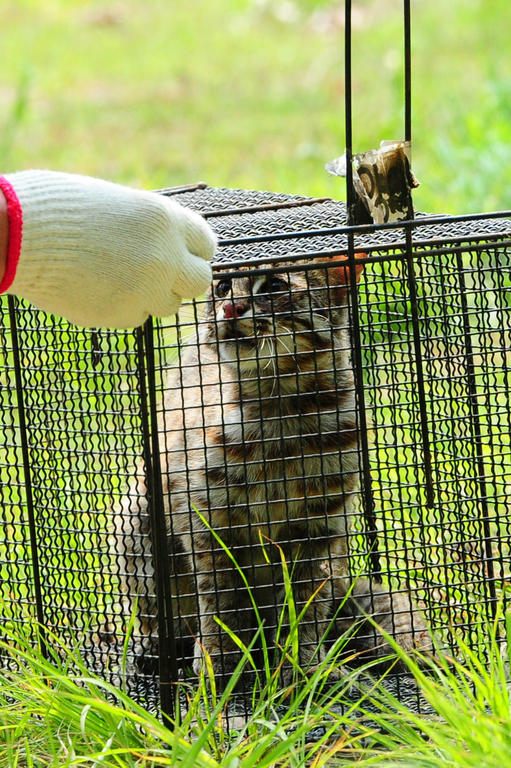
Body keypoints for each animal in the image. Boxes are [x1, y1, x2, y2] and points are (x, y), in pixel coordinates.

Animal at [113, 258, 432, 684]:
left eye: (275, 286)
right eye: (223, 287)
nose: (229, 308)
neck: (280, 402)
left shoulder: (320, 524)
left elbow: (306, 600)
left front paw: (302, 663)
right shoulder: (207, 518)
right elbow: (218, 597)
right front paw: (221, 659)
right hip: (138, 514)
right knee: (159, 610)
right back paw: (161, 647)